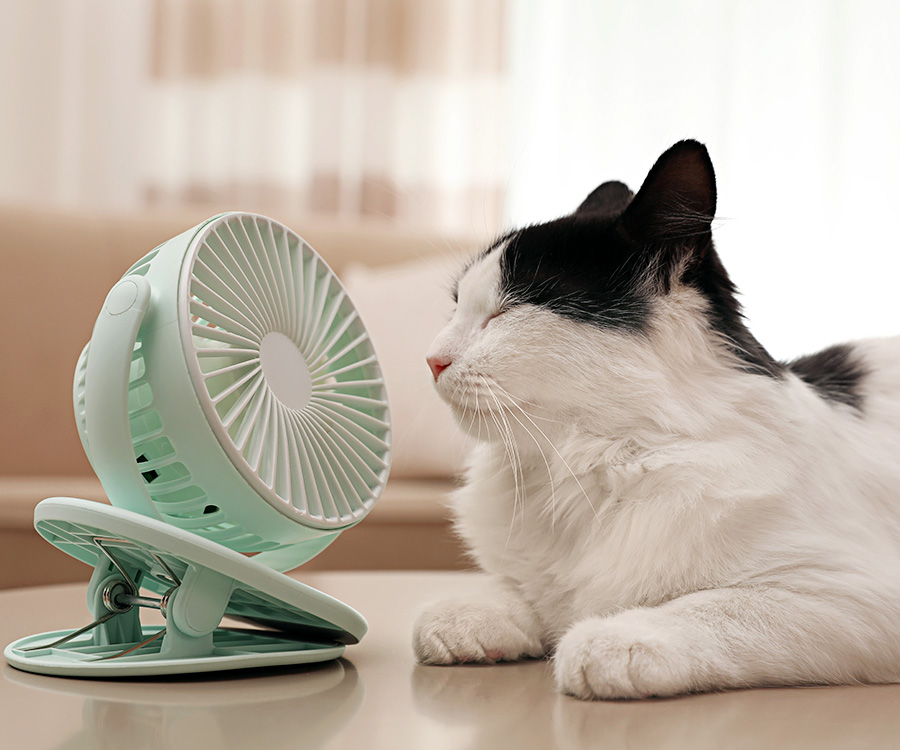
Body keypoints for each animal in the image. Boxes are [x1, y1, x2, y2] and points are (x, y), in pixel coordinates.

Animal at [412, 140, 900, 700]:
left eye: (507, 311)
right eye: (457, 307)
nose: (431, 360)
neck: (583, 469)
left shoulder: (852, 594)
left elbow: (716, 607)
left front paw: (612, 639)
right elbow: (518, 592)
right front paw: (472, 617)